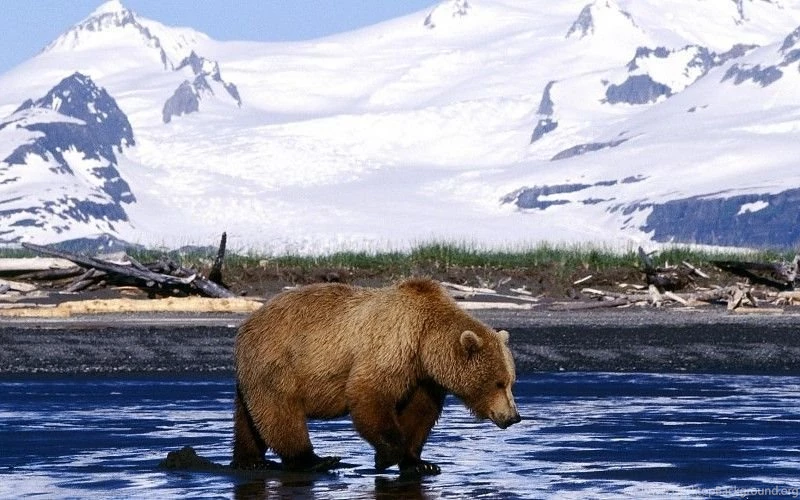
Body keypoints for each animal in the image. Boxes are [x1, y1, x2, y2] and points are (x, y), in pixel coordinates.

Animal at [231, 277, 521, 475]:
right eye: (498, 383)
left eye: (511, 382)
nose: (514, 417)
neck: (425, 341)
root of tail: (247, 323)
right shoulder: (393, 346)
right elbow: (369, 393)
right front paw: (386, 457)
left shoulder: (423, 377)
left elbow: (420, 414)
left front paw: (421, 464)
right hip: (278, 362)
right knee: (280, 412)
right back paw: (314, 460)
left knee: (250, 417)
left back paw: (250, 460)